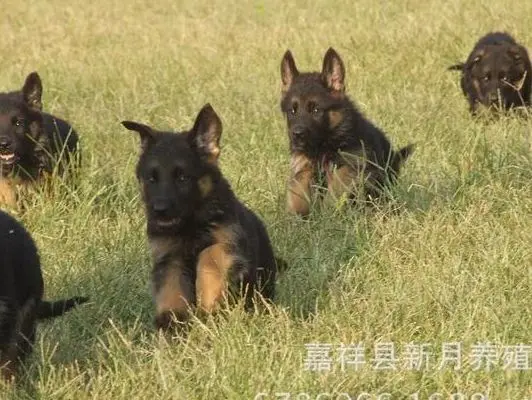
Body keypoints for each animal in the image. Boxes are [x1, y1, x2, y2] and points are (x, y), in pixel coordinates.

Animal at [121, 104, 278, 332]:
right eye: (151, 178)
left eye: (182, 178)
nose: (159, 210)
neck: (190, 225)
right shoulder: (169, 257)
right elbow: (171, 286)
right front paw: (171, 320)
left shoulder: (225, 243)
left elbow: (208, 259)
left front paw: (208, 304)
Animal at [280, 47, 414, 216]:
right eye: (292, 111)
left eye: (316, 110)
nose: (297, 135)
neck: (323, 147)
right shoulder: (304, 170)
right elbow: (299, 196)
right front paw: (296, 217)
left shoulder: (350, 164)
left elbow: (336, 188)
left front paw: (329, 213)